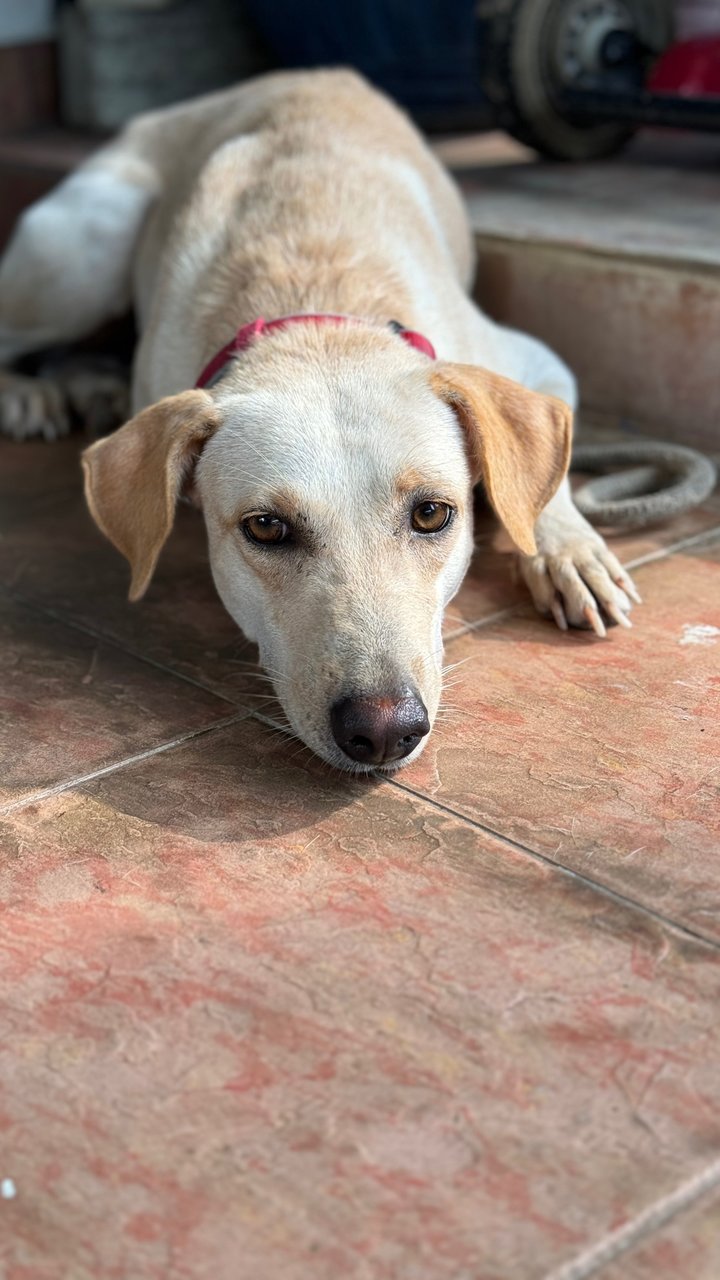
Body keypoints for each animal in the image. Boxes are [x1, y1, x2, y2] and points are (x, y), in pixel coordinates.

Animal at [0, 70, 635, 773]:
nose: (384, 731)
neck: (316, 312)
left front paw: (567, 550)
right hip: (82, 248)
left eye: (432, 514)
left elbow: (546, 489)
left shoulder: (534, 362)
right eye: (266, 528)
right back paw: (30, 393)